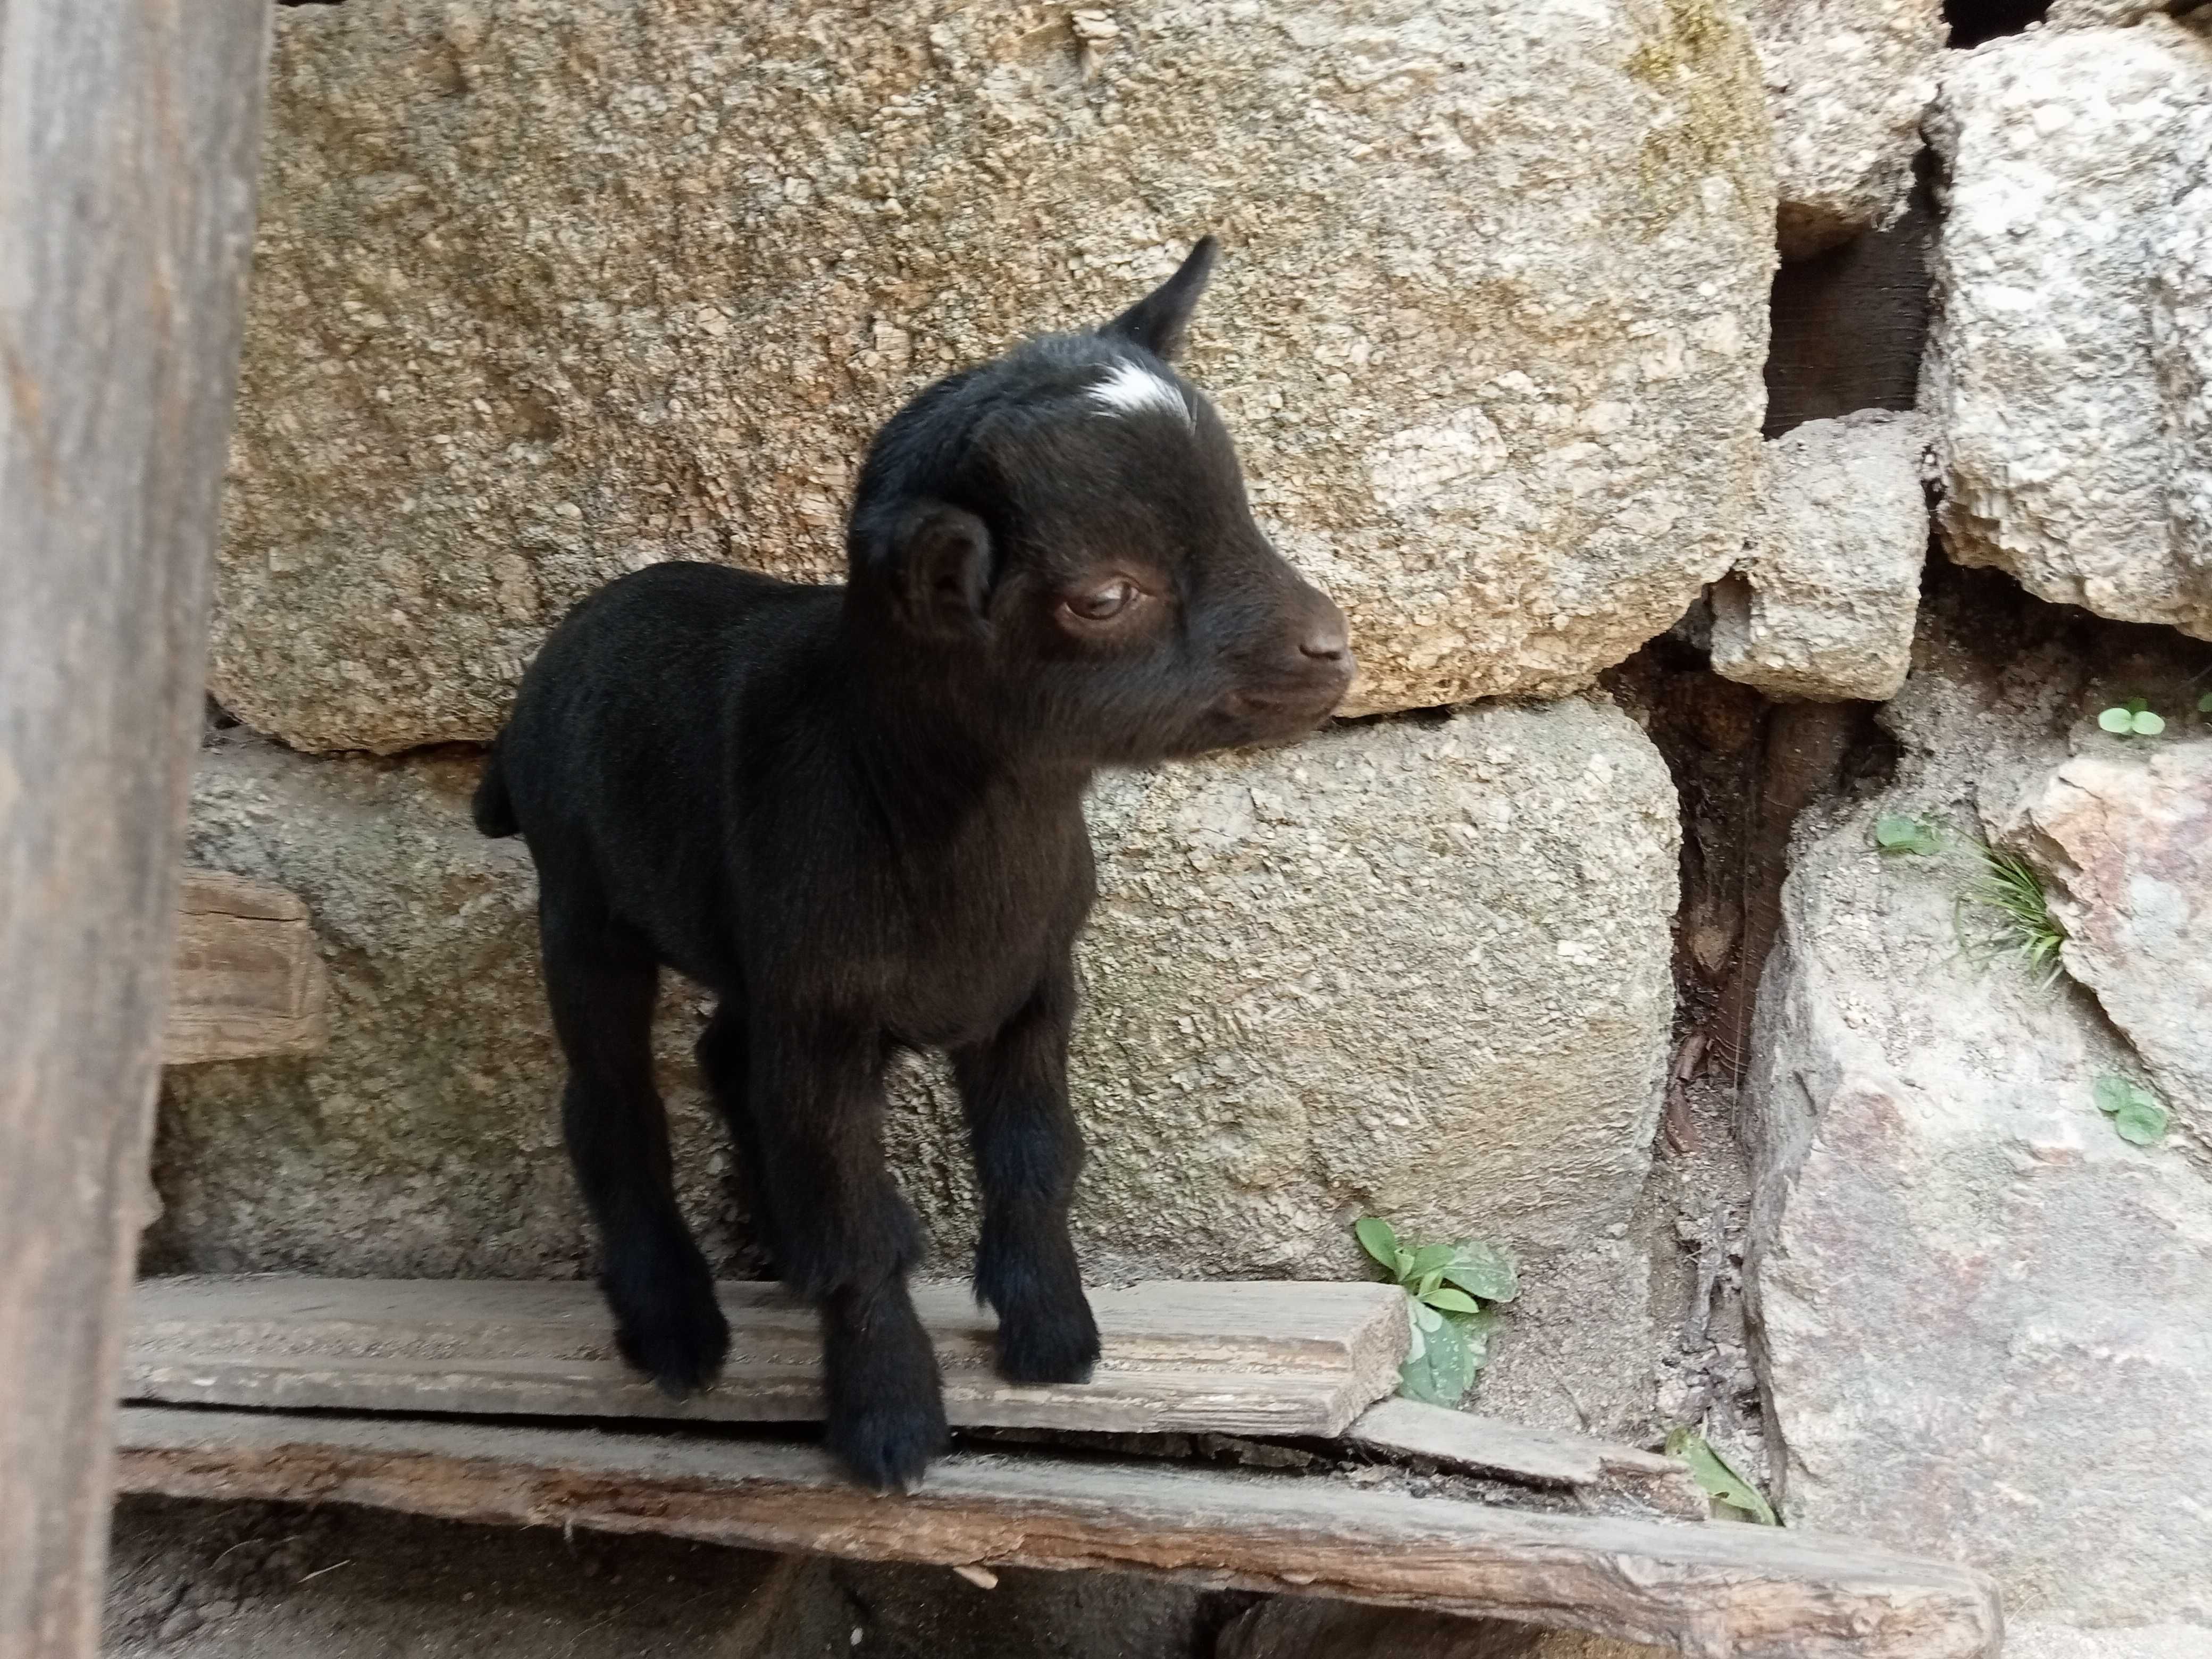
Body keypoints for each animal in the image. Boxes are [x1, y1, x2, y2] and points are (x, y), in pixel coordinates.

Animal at [475, 243, 1353, 1495]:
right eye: (1105, 595)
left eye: (1242, 511)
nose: (1329, 648)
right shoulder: (826, 1027)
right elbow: (859, 1216)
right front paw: (888, 1421)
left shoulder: (1029, 990)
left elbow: (1036, 1159)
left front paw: (1053, 1337)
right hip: (581, 907)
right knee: (610, 1105)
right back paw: (675, 1328)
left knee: (725, 1052)